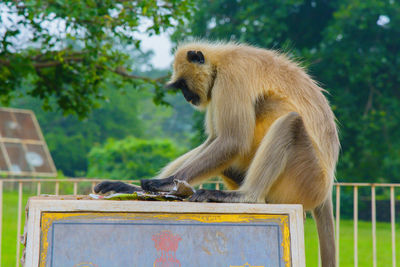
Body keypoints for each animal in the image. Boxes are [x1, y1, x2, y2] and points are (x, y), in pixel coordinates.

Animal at [95, 41, 340, 267]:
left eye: (183, 85)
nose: (186, 97)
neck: (220, 60)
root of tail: (326, 189)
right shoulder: (216, 88)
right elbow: (215, 140)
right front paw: (143, 187)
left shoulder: (232, 76)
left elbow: (233, 141)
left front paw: (164, 184)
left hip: (307, 178)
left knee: (291, 122)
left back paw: (246, 196)